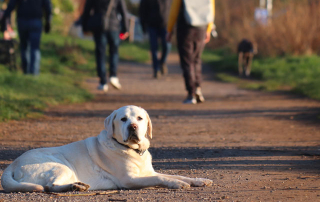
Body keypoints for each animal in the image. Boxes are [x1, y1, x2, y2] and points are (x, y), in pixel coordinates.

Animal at [2, 105, 214, 193]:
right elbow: (161, 179)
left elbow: (177, 174)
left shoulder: (148, 172)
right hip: (60, 165)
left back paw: (77, 185)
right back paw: (74, 187)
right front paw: (176, 184)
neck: (133, 150)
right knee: (49, 186)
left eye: (140, 118)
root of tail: (11, 165)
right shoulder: (130, 180)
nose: (133, 127)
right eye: (123, 119)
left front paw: (198, 180)